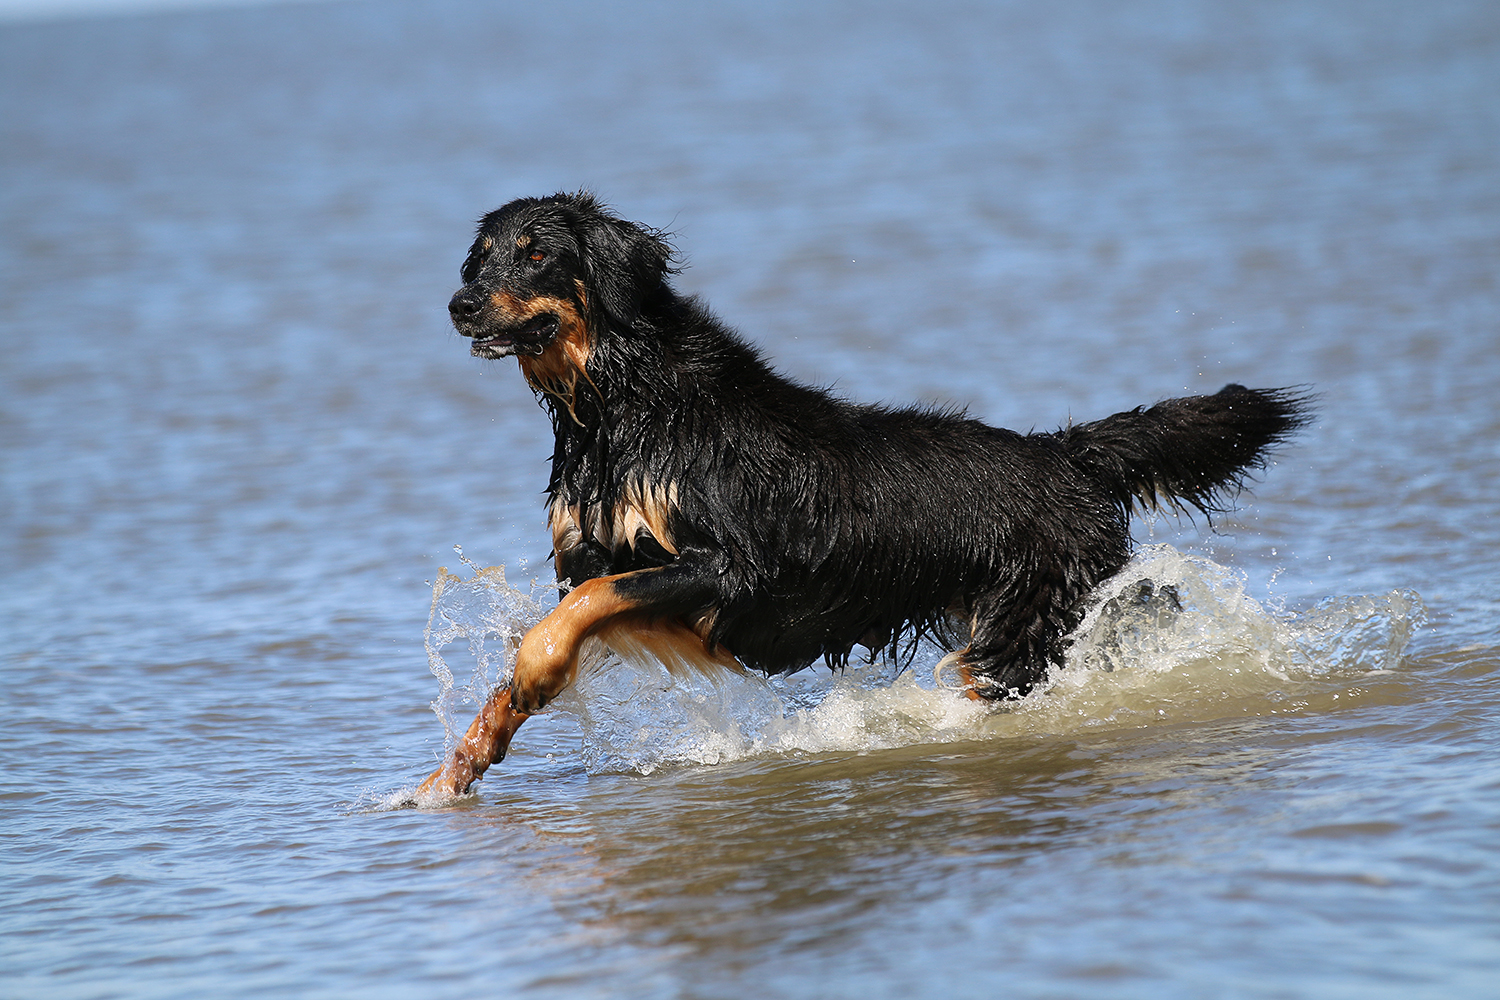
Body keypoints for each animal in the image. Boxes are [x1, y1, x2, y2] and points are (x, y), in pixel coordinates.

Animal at [415, 191, 1309, 797]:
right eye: (479, 257)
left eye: (535, 252)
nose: (458, 304)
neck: (617, 402)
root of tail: (1063, 454)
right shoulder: (619, 566)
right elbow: (574, 612)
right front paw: (461, 763)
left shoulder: (731, 567)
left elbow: (572, 613)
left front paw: (531, 675)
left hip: (1017, 637)